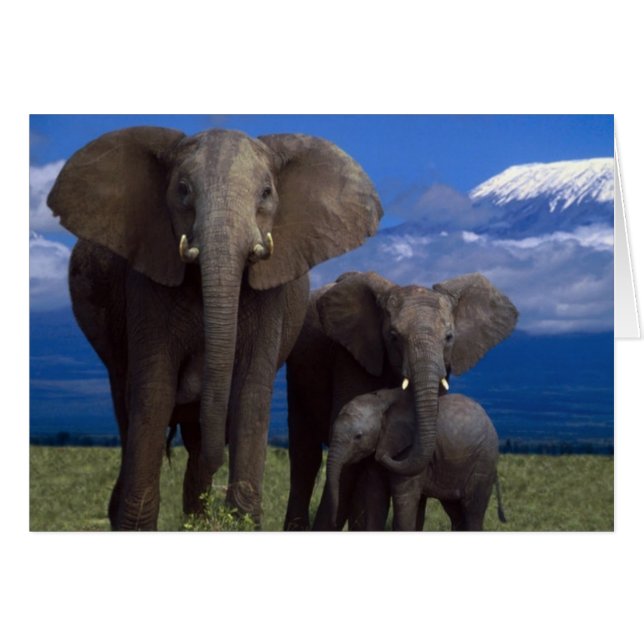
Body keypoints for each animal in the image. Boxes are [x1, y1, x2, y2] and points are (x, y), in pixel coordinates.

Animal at [47, 126, 383, 530]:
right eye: (183, 190)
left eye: (266, 193)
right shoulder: (147, 279)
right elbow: (154, 391)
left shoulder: (270, 295)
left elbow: (250, 393)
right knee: (128, 412)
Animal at [324, 390, 507, 531]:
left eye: (358, 436)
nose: (333, 523)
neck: (381, 400)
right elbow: (376, 497)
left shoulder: (408, 450)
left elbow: (404, 499)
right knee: (455, 511)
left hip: (484, 462)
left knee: (472, 510)